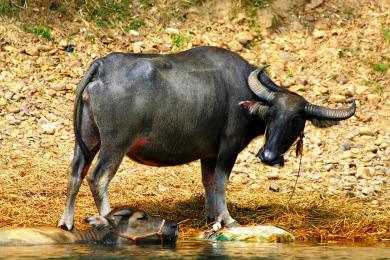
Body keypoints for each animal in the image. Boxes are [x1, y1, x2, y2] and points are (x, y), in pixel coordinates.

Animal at [57, 45, 354, 231]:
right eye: (271, 115)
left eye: (296, 121)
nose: (269, 157)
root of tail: (102, 66)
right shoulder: (228, 146)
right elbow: (221, 182)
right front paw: (229, 220)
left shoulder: (209, 153)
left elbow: (208, 181)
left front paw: (212, 216)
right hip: (116, 142)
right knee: (98, 178)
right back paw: (107, 220)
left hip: (88, 137)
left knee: (75, 171)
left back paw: (66, 222)